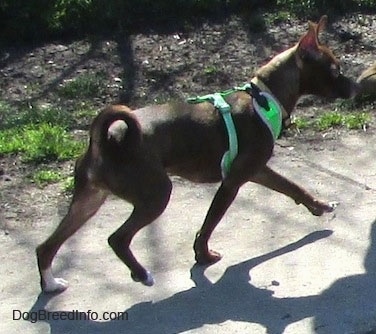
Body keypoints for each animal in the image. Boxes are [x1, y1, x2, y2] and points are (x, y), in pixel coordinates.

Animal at [36, 15, 356, 292]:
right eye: (335, 70)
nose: (354, 86)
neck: (265, 97)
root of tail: (105, 140)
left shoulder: (257, 171)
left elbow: (293, 187)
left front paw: (319, 206)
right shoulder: (233, 181)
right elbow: (209, 224)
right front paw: (204, 255)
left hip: (88, 201)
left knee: (46, 246)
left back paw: (51, 284)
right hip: (155, 195)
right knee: (117, 238)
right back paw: (141, 273)